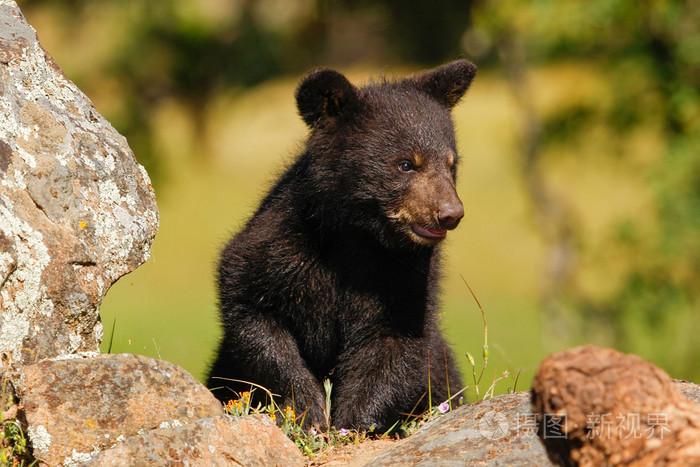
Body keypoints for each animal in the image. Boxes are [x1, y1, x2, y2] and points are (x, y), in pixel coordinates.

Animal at [208, 60, 477, 432]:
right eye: (406, 163)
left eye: (452, 164)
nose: (450, 213)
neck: (354, 234)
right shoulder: (279, 247)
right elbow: (255, 314)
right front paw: (309, 411)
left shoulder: (405, 274)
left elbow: (393, 343)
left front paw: (351, 423)